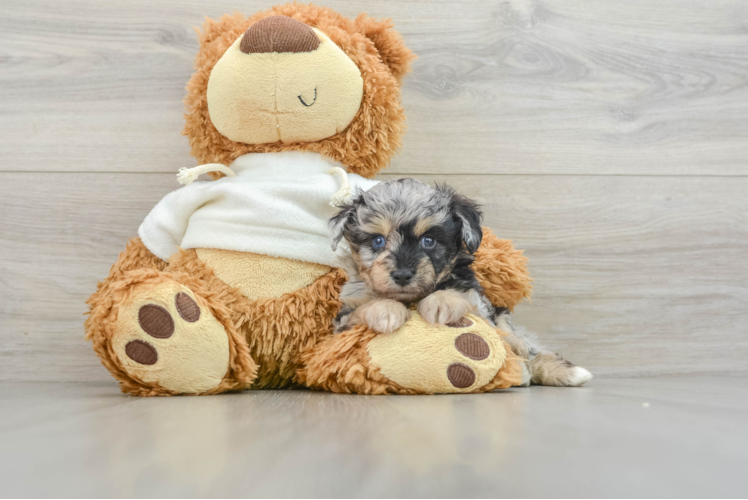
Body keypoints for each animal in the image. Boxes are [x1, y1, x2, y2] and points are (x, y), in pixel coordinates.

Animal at [330, 180, 592, 386]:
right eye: (377, 240)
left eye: (428, 240)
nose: (403, 275)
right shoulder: (342, 321)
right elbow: (363, 308)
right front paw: (386, 311)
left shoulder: (478, 304)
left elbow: (458, 294)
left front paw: (440, 304)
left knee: (525, 345)